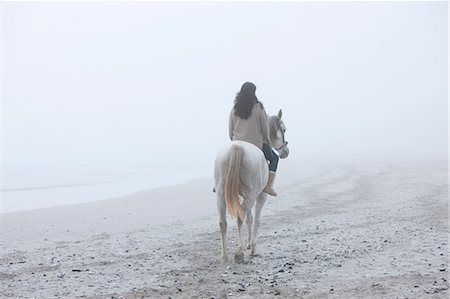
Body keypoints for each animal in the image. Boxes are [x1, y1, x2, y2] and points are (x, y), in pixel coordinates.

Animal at [214, 109, 288, 262]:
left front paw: (248, 243)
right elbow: (256, 219)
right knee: (239, 218)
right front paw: (252, 246)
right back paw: (239, 252)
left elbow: (249, 218)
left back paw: (224, 255)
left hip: (221, 194)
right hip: (252, 195)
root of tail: (237, 146)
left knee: (223, 222)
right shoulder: (261, 196)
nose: (286, 152)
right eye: (284, 129)